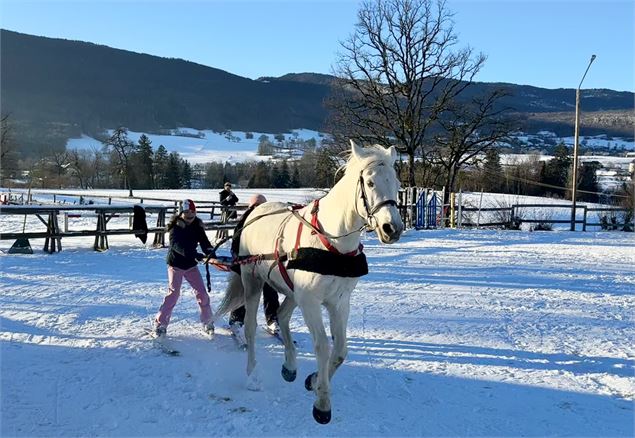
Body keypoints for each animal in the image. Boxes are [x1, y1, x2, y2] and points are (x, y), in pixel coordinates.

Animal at [214, 139, 402, 420]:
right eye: (369, 183)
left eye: (397, 184)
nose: (393, 229)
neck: (333, 244)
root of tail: (255, 211)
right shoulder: (311, 301)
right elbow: (323, 346)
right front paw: (322, 403)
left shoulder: (338, 302)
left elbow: (340, 350)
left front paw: (313, 381)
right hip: (253, 281)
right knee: (249, 327)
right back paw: (253, 375)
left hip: (292, 291)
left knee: (281, 316)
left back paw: (290, 366)